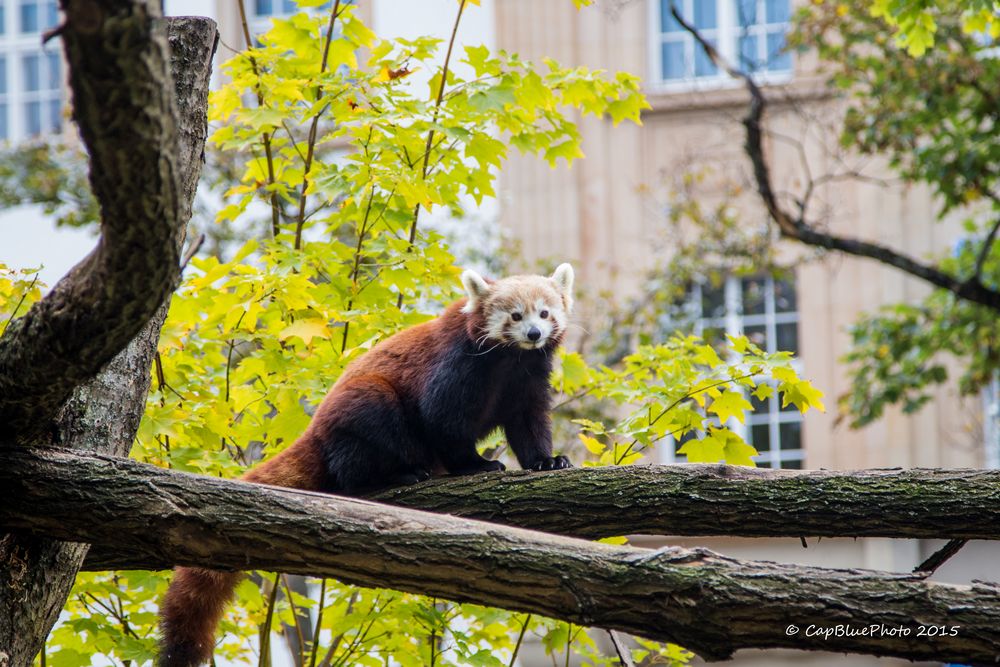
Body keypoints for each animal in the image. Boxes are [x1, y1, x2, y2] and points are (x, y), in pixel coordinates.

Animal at [159, 264, 576, 664]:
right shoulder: (457, 366)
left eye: (545, 312)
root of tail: (315, 429)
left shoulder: (527, 379)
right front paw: (475, 465)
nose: (534, 333)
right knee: (365, 445)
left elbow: (529, 422)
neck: (510, 360)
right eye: (515, 315)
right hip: (364, 405)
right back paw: (395, 476)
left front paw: (547, 461)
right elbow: (443, 421)